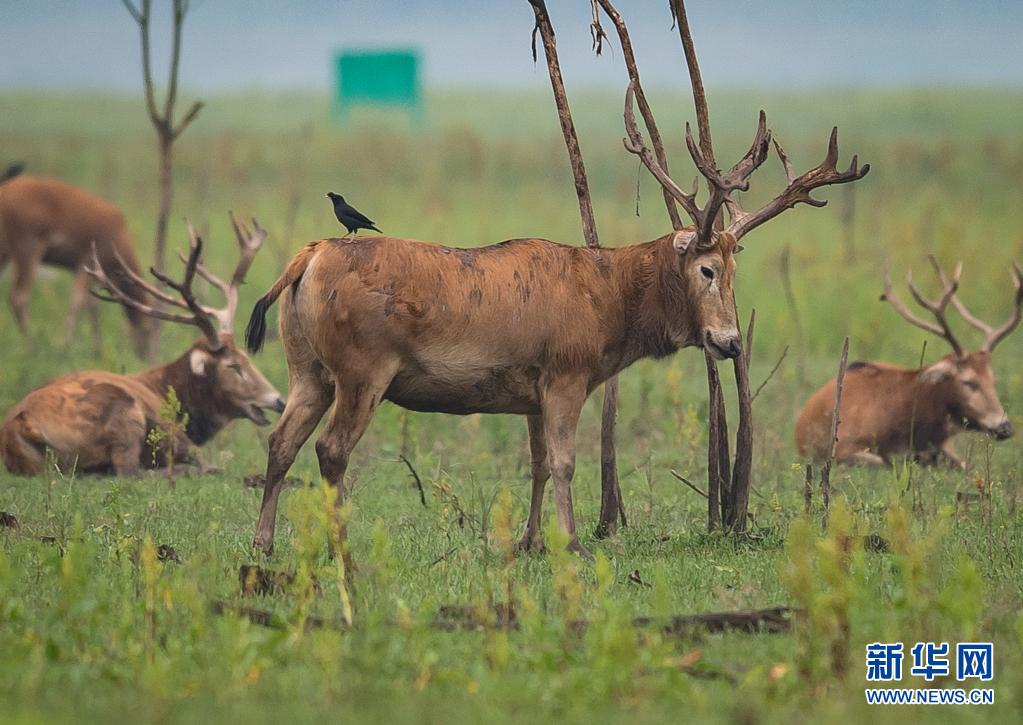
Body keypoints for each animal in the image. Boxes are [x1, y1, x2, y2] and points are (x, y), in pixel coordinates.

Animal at [0, 174, 151, 355]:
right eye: (150, 330)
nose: (145, 355)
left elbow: (92, 305)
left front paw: (97, 349)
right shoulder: (86, 261)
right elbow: (78, 302)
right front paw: (66, 346)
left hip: (7, 249)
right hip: (28, 242)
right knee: (19, 297)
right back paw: (32, 347)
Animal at [0, 213, 284, 474]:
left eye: (247, 358)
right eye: (234, 365)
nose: (279, 400)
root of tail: (23, 425)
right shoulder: (178, 437)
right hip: (125, 413)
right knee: (131, 471)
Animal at [243, 80, 867, 560]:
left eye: (737, 272)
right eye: (708, 268)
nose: (730, 341)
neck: (608, 308)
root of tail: (307, 258)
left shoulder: (530, 388)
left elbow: (539, 464)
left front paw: (530, 542)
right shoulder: (567, 371)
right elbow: (566, 463)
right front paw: (574, 544)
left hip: (307, 368)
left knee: (280, 441)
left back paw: (264, 543)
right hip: (362, 367)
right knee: (331, 449)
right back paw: (337, 546)